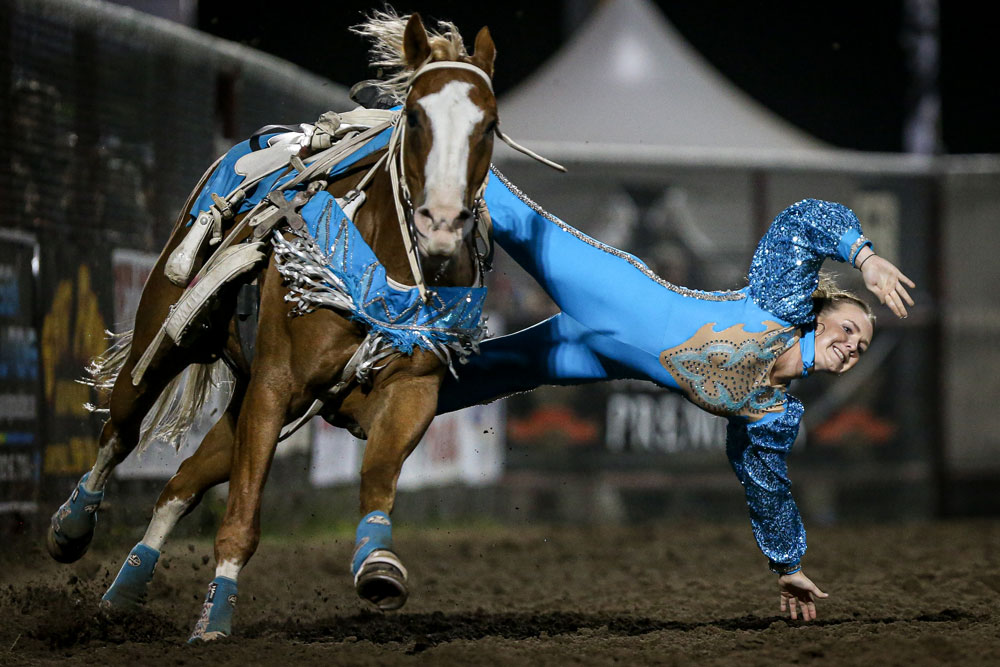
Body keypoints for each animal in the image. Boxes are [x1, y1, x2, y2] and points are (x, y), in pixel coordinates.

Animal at [45, 11, 548, 640]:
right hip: (168, 334)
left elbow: (377, 472)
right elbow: (242, 516)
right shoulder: (276, 383)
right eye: (415, 116)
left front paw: (377, 564)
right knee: (121, 429)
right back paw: (70, 528)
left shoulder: (409, 390)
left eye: (490, 125)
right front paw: (214, 621)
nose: (441, 223)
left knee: (180, 483)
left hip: (246, 401)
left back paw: (124, 593)